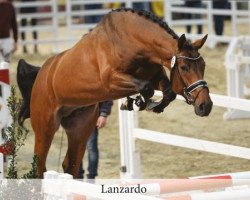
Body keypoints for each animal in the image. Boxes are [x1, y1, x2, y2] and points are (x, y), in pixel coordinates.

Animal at [16, 8, 213, 178]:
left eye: (203, 65)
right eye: (184, 67)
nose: (206, 106)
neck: (132, 41)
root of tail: (41, 73)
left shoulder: (154, 75)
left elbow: (168, 92)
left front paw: (150, 105)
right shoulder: (110, 81)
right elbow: (146, 88)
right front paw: (135, 102)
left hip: (80, 128)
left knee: (69, 164)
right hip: (46, 127)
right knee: (39, 166)